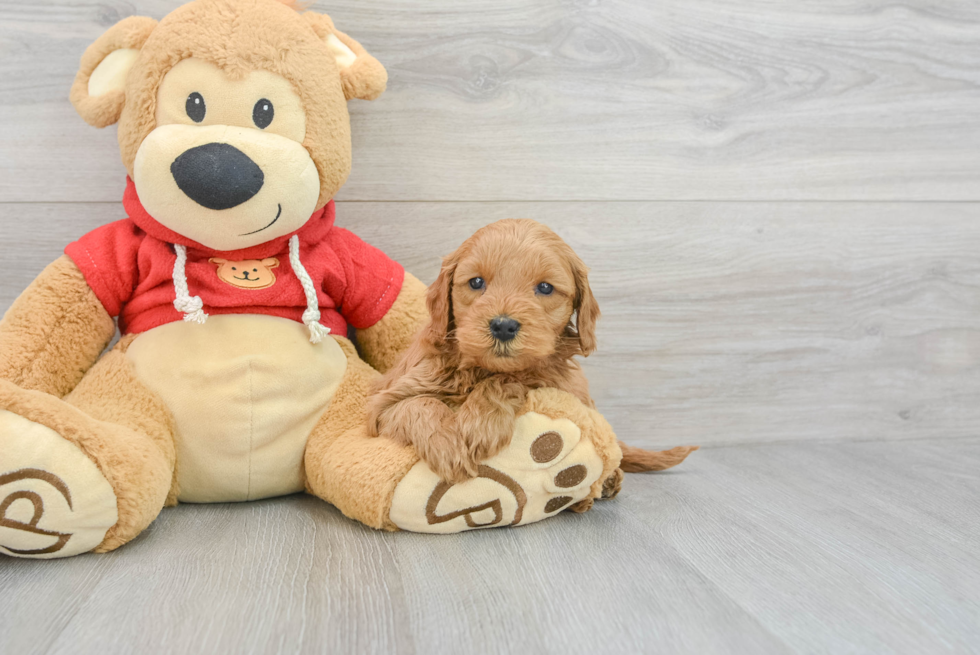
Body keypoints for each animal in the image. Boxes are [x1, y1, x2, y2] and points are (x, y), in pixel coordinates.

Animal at [368, 220, 696, 486]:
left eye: (545, 288)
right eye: (476, 282)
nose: (503, 325)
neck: (481, 369)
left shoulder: (557, 385)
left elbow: (513, 378)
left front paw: (479, 424)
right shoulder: (381, 409)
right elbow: (420, 404)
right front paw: (448, 444)